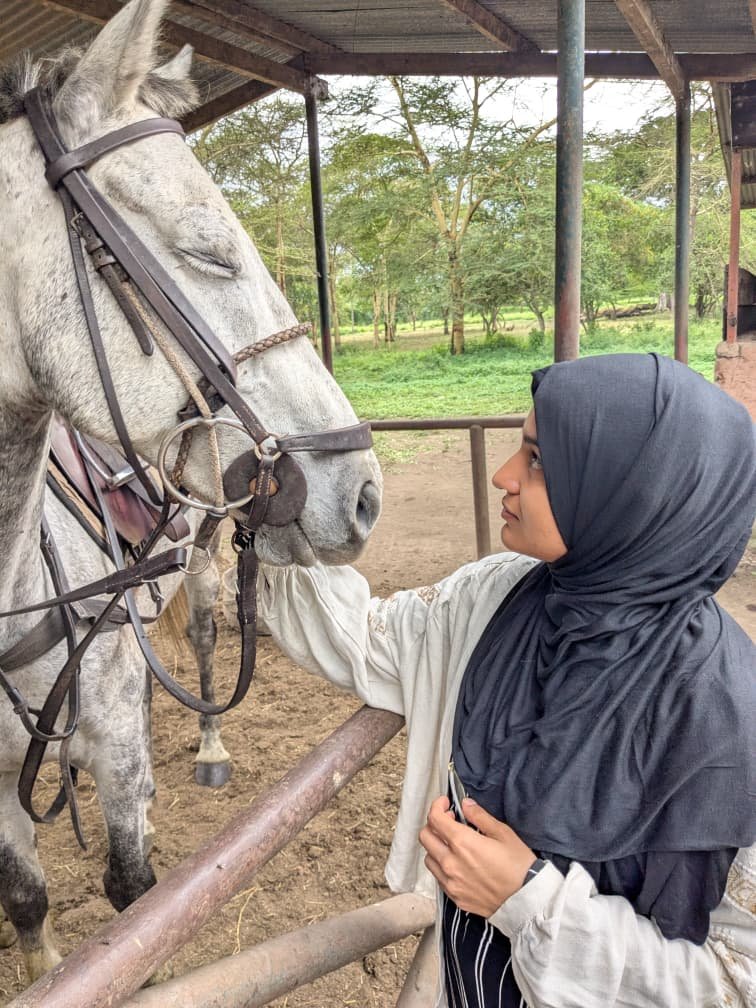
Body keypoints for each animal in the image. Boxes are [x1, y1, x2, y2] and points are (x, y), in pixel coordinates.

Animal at [0, 0, 381, 983]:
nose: (361, 489)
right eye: (208, 252)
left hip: (207, 556)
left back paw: (207, 753)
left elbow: (136, 902)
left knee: (208, 636)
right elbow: (27, 898)